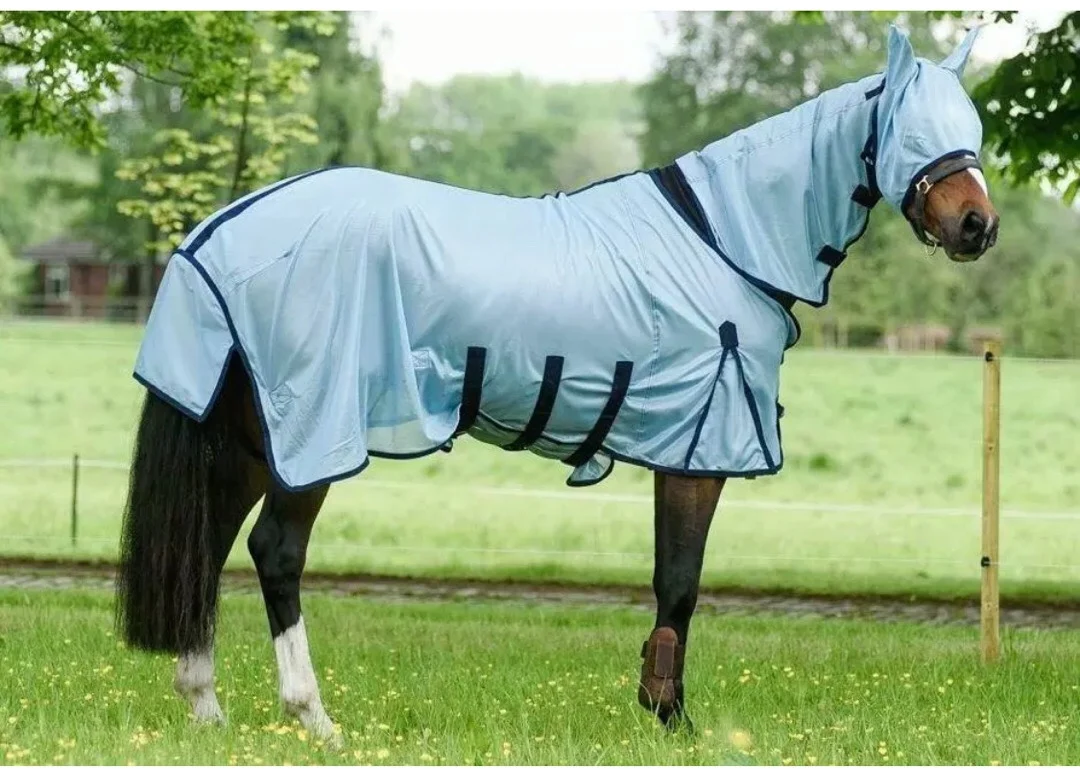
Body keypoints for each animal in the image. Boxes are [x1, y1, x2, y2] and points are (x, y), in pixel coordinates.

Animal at [116, 25, 999, 739]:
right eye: (913, 129)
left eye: (974, 131)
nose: (977, 226)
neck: (723, 238)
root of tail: (219, 231)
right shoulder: (700, 449)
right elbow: (681, 581)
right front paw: (671, 716)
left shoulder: (677, 444)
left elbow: (668, 579)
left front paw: (658, 704)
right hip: (312, 431)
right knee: (275, 550)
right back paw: (313, 714)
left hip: (247, 438)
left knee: (208, 545)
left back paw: (205, 705)